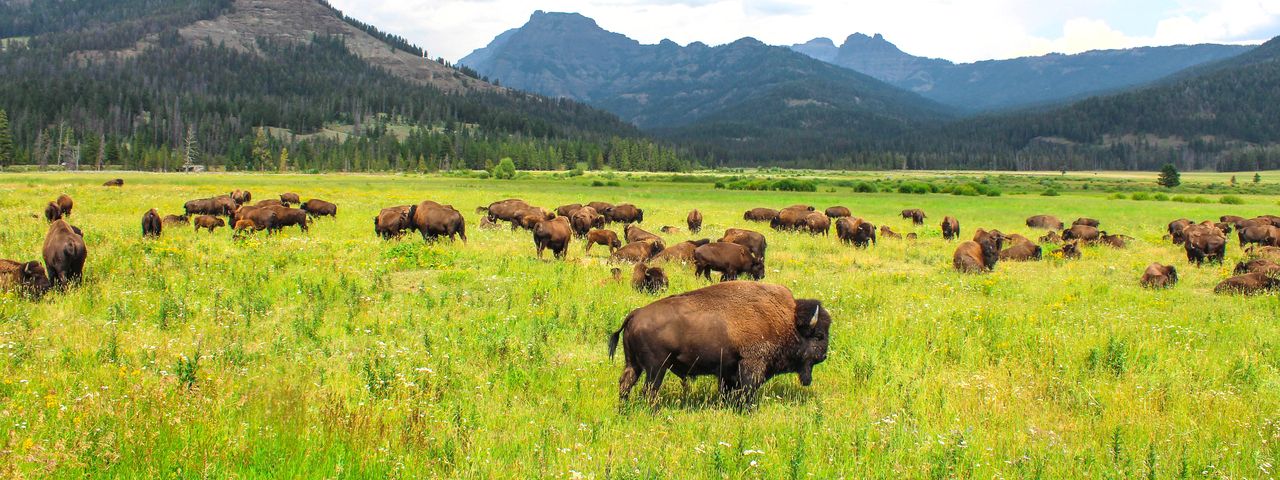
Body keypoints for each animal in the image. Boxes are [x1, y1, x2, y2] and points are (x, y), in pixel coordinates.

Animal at [608, 282, 831, 403]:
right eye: (819, 336)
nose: (824, 356)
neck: (787, 321)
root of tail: (635, 314)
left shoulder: (728, 371)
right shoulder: (752, 365)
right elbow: (747, 391)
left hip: (634, 364)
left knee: (626, 383)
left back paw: (624, 408)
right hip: (656, 368)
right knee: (649, 390)